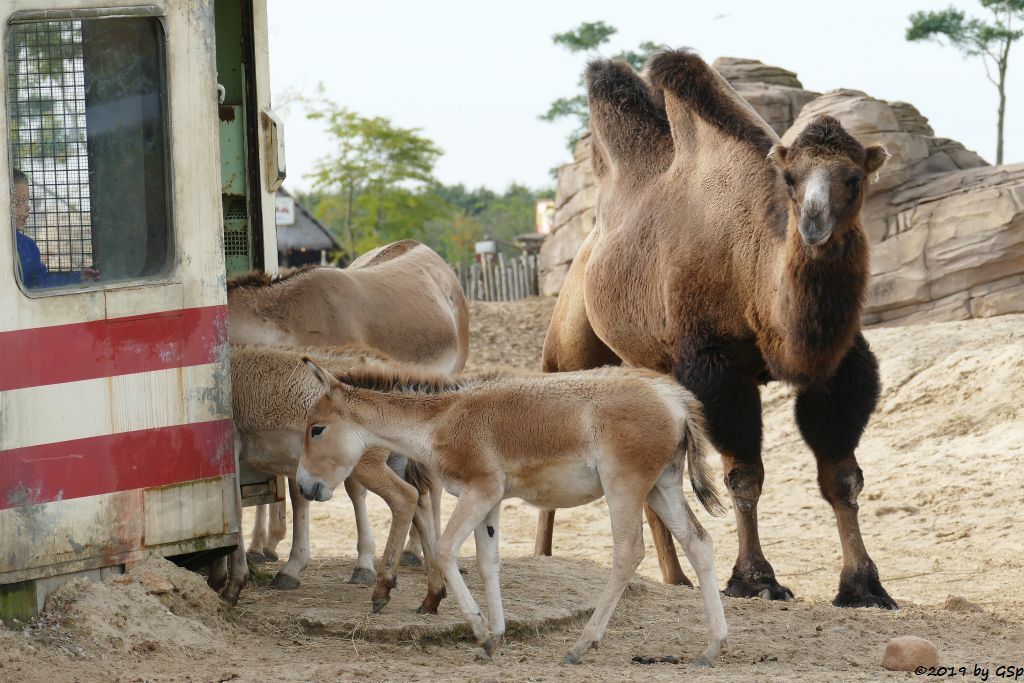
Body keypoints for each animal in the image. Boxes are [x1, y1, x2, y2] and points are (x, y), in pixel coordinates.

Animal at [207, 344, 448, 610]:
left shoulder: (232, 450)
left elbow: (233, 512)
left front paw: (233, 585)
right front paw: (217, 576)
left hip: (369, 467)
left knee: (404, 498)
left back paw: (383, 586)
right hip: (395, 463)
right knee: (421, 505)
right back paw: (433, 593)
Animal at [294, 362, 729, 667]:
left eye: (316, 429)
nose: (304, 487)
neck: (440, 420)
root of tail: (672, 396)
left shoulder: (479, 490)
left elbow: (446, 550)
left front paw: (481, 632)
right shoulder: (491, 501)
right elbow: (489, 562)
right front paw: (496, 637)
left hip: (625, 486)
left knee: (628, 553)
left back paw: (581, 645)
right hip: (661, 487)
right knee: (700, 543)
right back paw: (712, 648)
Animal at [536, 50, 897, 610]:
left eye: (854, 177)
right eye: (791, 179)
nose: (814, 224)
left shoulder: (836, 367)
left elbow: (841, 476)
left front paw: (864, 586)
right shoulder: (716, 363)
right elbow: (744, 476)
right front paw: (756, 580)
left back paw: (674, 579)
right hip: (569, 346)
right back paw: (541, 560)